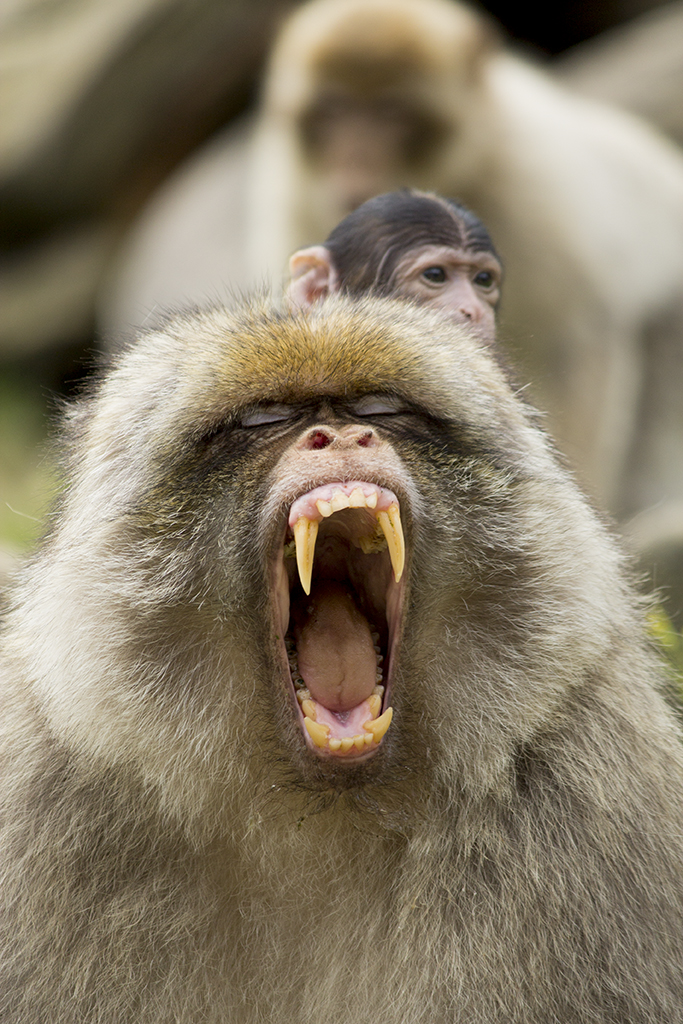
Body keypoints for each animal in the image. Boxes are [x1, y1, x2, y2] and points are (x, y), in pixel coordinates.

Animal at [2, 293, 683, 1022]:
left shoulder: (590, 799)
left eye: (380, 408)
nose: (340, 438)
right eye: (263, 419)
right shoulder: (46, 807)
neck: (319, 813)